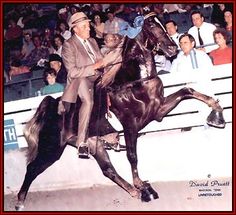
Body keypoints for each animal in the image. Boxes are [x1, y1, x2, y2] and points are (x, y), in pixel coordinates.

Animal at [14, 11, 225, 210]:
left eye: (162, 24)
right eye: (151, 25)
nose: (173, 48)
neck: (134, 82)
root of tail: (51, 107)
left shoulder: (158, 111)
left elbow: (187, 90)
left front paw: (217, 114)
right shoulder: (130, 125)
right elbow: (132, 156)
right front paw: (141, 184)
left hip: (94, 144)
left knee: (108, 170)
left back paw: (135, 192)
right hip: (51, 149)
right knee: (32, 168)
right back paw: (19, 201)